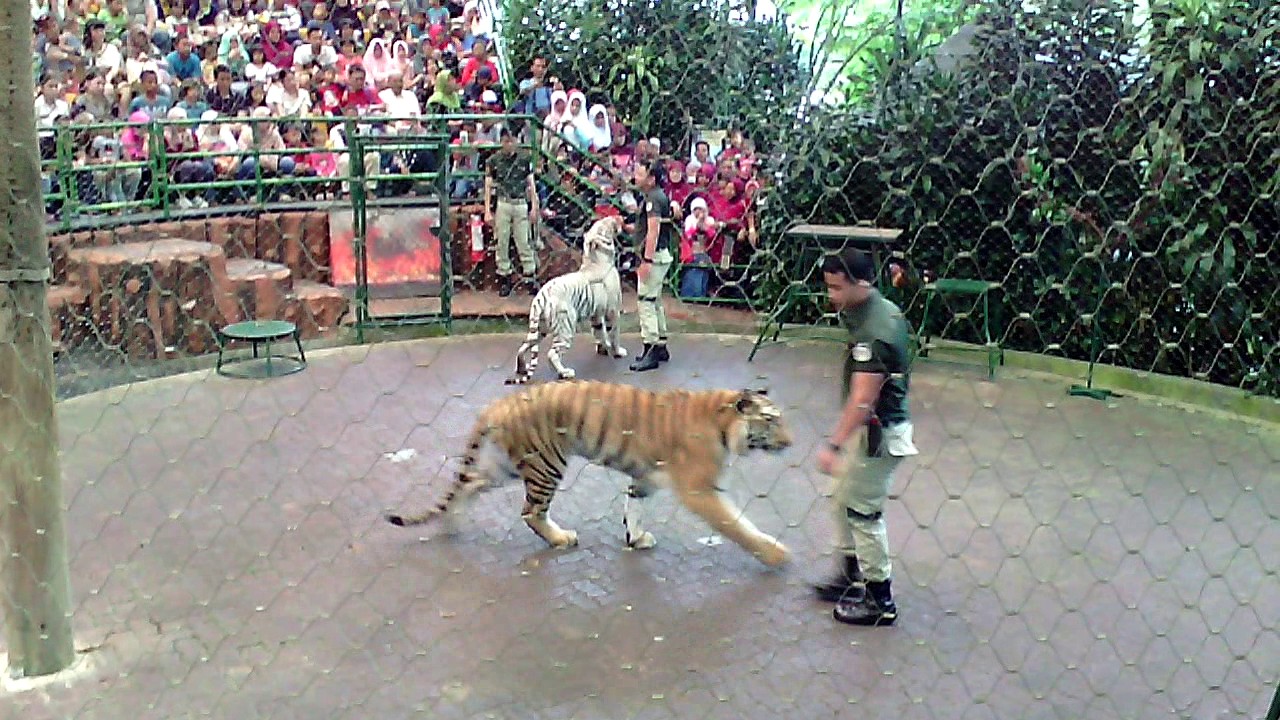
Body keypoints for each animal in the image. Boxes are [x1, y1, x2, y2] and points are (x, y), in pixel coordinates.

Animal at [385, 380, 794, 567]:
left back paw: (450, 524)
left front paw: (636, 538)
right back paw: (561, 538)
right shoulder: (700, 490)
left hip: (506, 466)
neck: (725, 424)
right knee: (531, 512)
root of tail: (500, 402)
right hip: (546, 464)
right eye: (772, 420)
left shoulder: (645, 477)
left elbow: (633, 506)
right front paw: (774, 554)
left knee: (469, 484)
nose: (791, 441)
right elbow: (738, 525)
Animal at [505, 215, 628, 385]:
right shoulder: (613, 310)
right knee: (552, 353)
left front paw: (603, 348)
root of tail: (542, 295)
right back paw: (565, 372)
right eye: (604, 225)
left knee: (524, 346)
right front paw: (617, 352)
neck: (594, 258)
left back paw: (522, 368)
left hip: (539, 327)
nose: (617, 217)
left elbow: (599, 332)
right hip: (565, 326)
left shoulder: (596, 314)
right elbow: (613, 332)